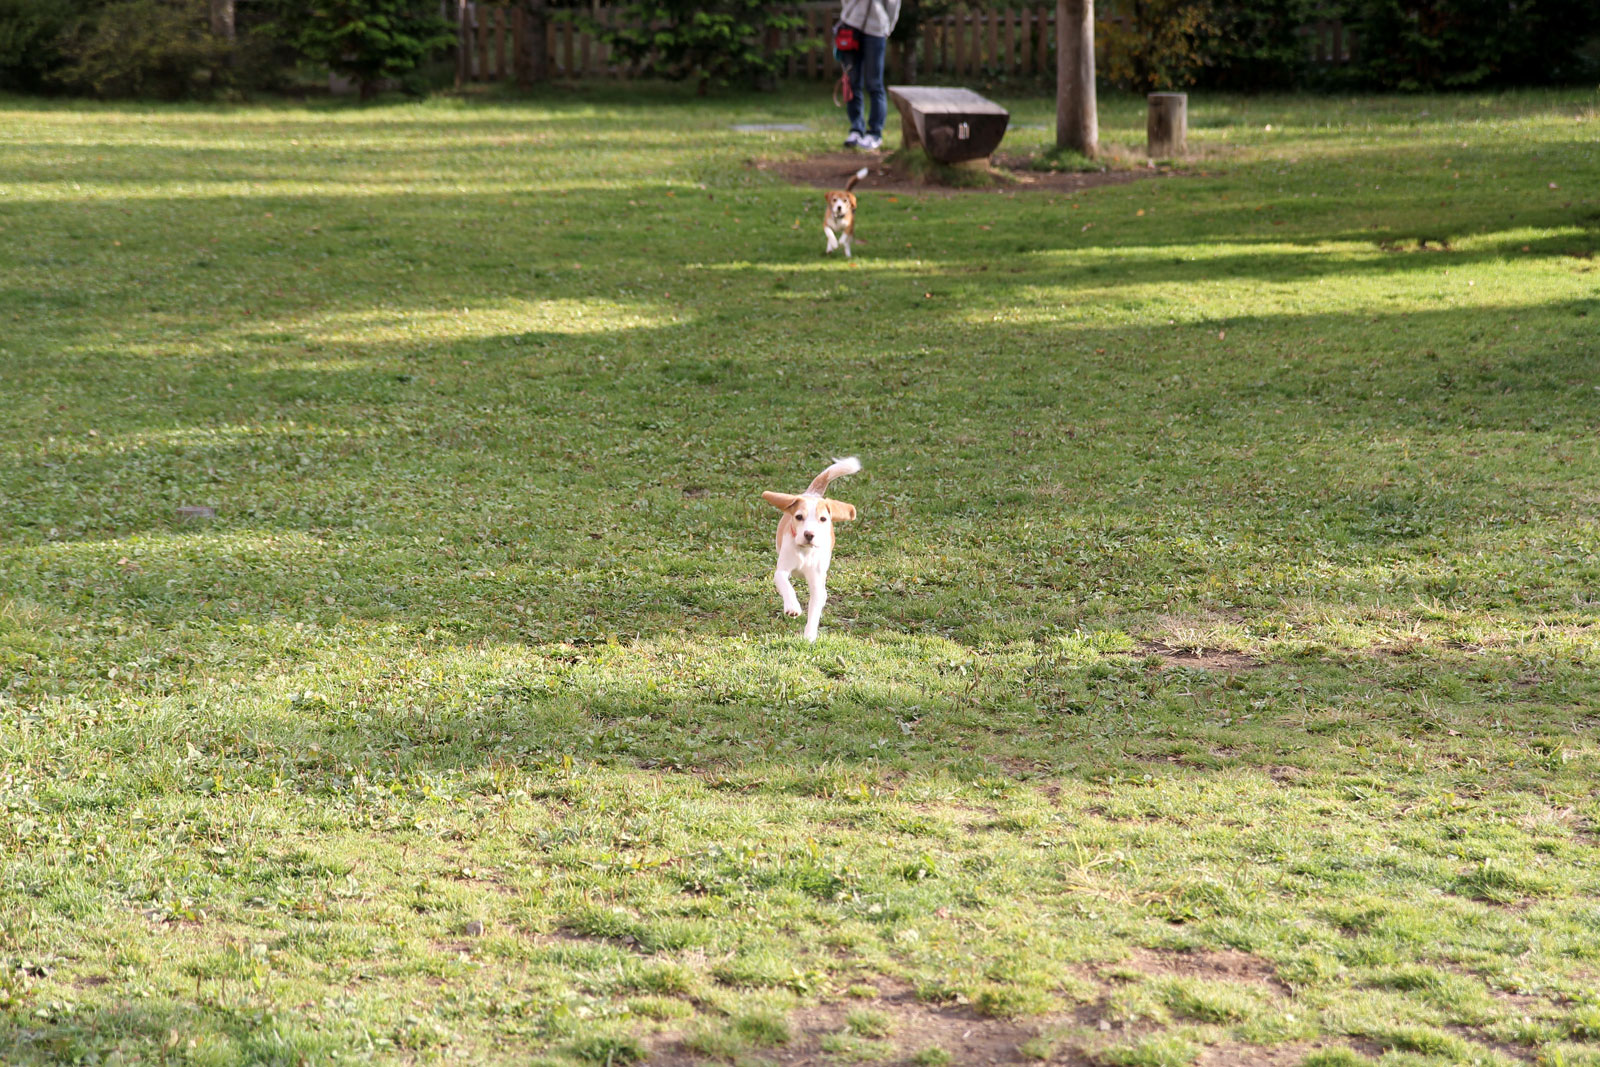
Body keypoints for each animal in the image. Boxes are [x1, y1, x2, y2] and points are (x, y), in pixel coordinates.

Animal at [761, 454, 864, 639]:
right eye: (798, 517)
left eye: (823, 519)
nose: (809, 534)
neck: (805, 551)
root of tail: (813, 494)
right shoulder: (781, 571)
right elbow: (786, 586)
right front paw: (792, 607)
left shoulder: (816, 581)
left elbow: (815, 607)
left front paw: (809, 635)